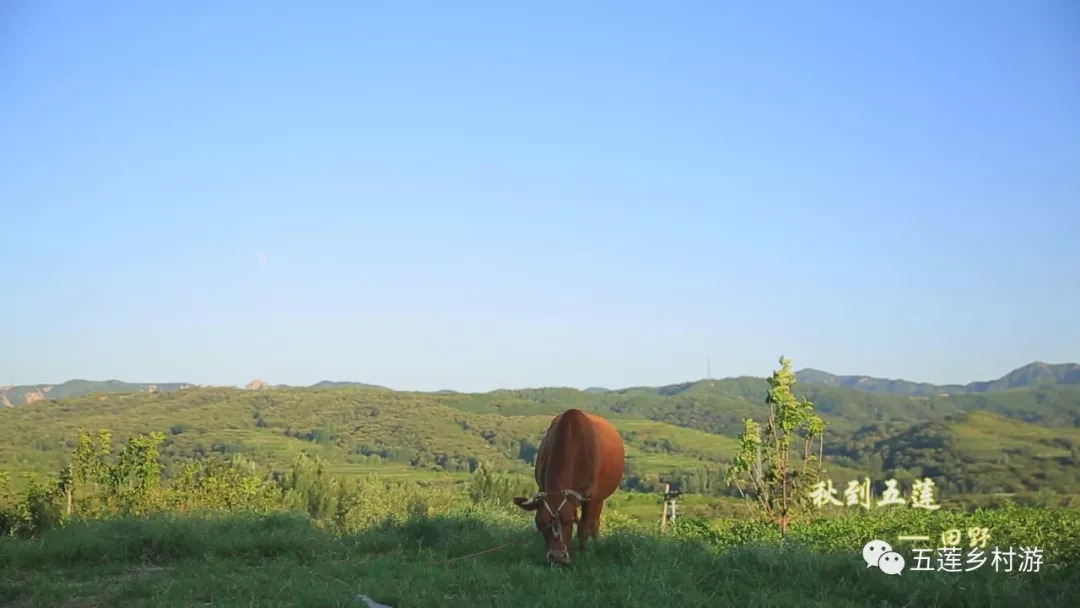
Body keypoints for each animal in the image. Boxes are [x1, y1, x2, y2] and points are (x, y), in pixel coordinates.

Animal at [511, 408, 626, 565]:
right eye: (541, 523)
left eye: (570, 521)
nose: (558, 556)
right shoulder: (543, 486)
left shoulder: (591, 497)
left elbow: (584, 526)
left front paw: (583, 553)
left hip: (600, 498)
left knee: (594, 522)